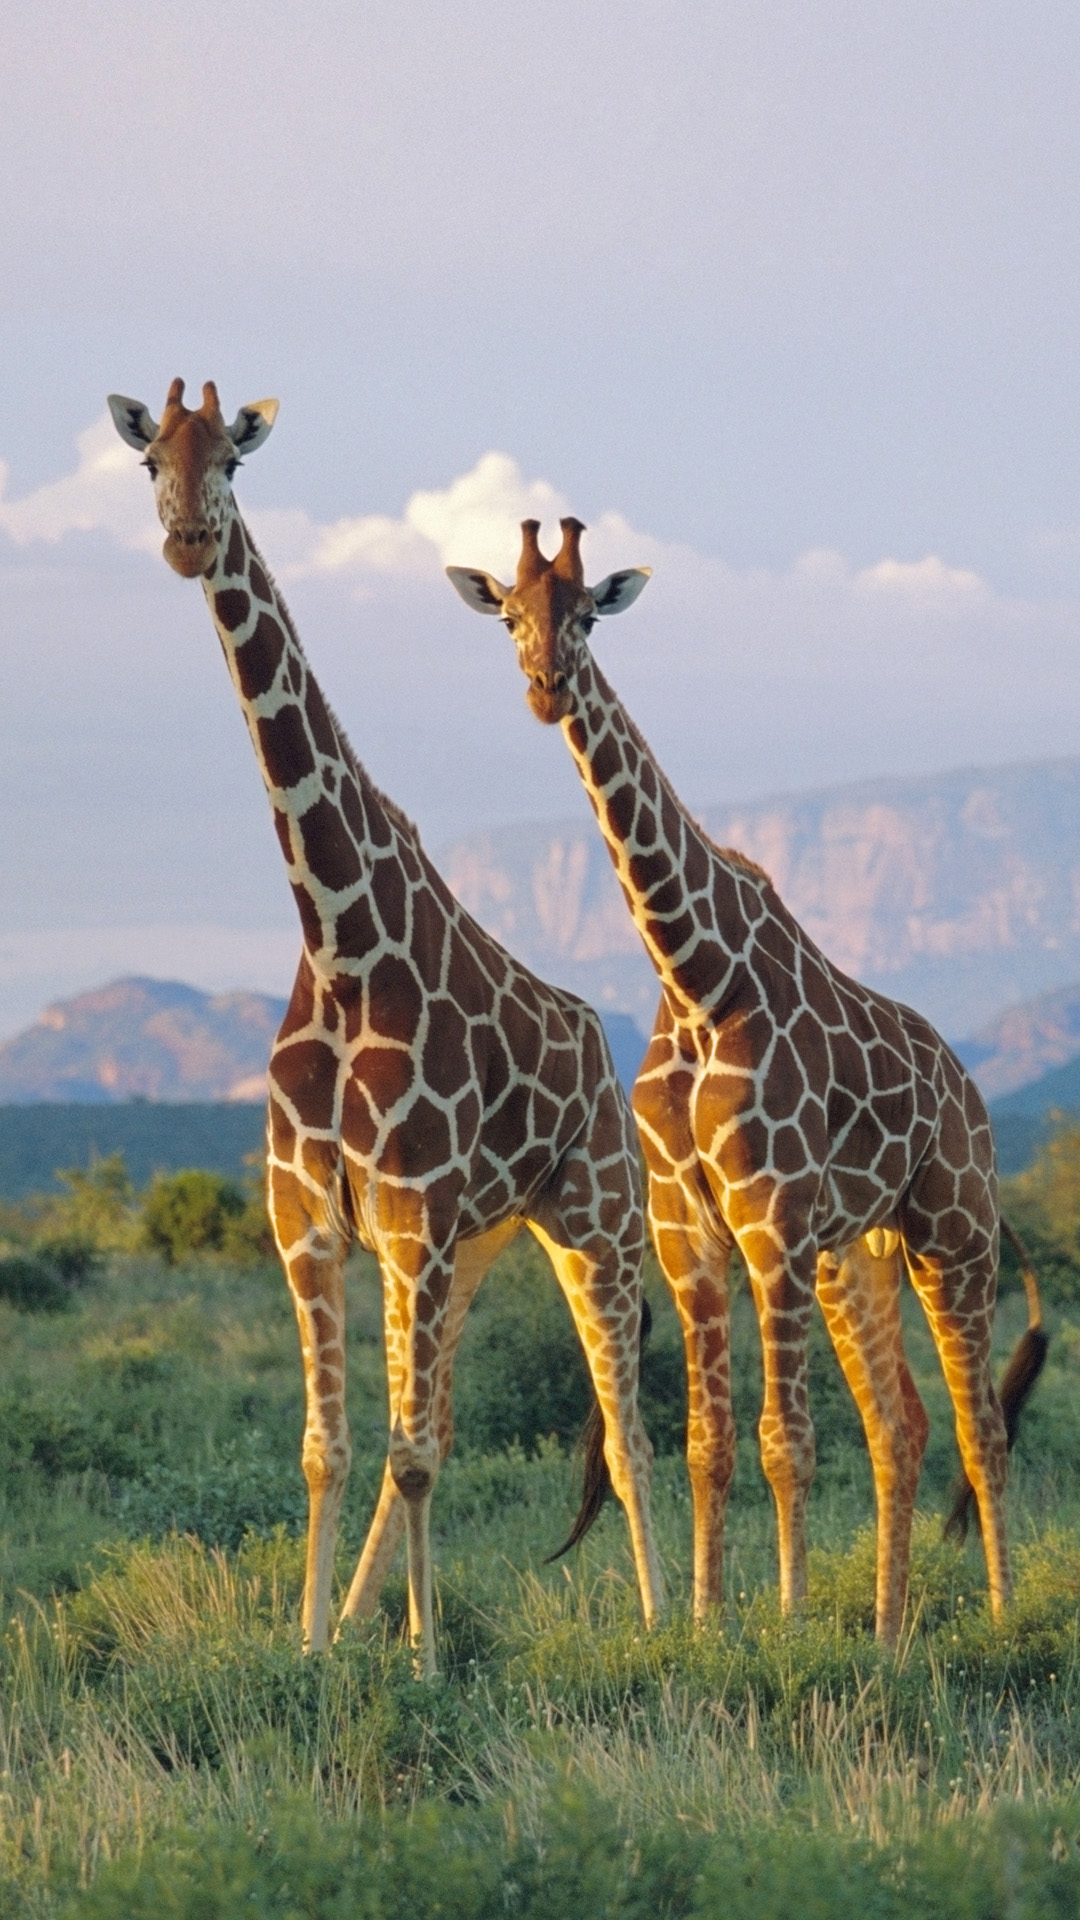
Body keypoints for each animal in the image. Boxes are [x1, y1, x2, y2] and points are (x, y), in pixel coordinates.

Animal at [107, 385, 663, 1673]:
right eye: (152, 460)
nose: (186, 540)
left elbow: (408, 1454)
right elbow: (337, 1448)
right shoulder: (312, 1217)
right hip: (478, 1248)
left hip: (593, 1223)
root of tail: (597, 1042)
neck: (342, 941)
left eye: (234, 463)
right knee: (447, 1423)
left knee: (624, 1432)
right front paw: (317, 1649)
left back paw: (680, 1621)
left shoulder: (411, 1218)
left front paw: (422, 1663)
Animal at [447, 517, 1046, 1645]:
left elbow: (786, 1442)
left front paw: (791, 1619)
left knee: (981, 1426)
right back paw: (890, 1634)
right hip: (857, 1255)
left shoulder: (771, 1223)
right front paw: (705, 1620)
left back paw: (991, 1615)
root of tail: (969, 1089)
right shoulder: (691, 1234)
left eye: (587, 612)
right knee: (901, 1424)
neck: (695, 975)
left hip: (952, 1233)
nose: (546, 685)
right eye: (509, 614)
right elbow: (709, 1443)